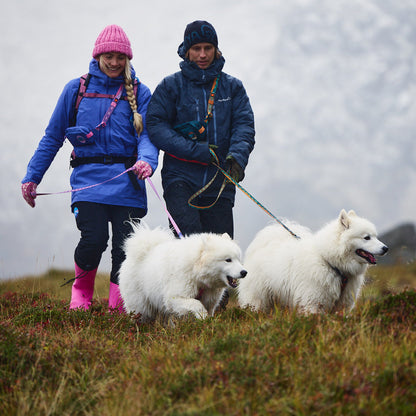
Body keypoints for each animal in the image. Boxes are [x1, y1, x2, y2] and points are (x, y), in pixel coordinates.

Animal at [118, 224, 247, 322]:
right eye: (228, 260)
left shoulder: (209, 300)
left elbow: (207, 310)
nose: (244, 272)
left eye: (238, 259)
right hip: (140, 305)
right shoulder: (175, 296)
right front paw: (202, 317)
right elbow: (196, 304)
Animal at [239, 210, 388, 314]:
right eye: (367, 237)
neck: (331, 263)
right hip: (258, 299)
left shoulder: (341, 305)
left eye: (375, 236)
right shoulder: (313, 303)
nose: (386, 248)